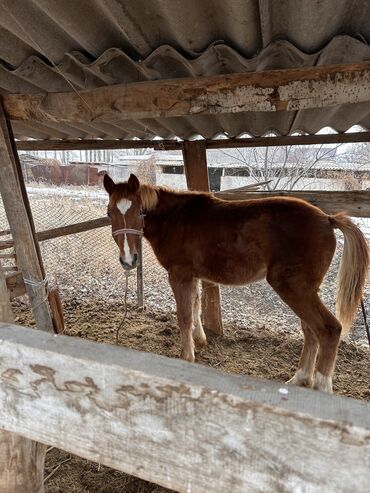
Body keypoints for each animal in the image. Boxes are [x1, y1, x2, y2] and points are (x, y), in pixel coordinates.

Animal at [102, 173, 368, 392]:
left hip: (294, 288)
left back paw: (321, 387)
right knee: (311, 330)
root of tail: (328, 218)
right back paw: (300, 378)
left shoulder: (179, 274)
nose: (129, 260)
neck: (177, 219)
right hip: (305, 289)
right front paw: (200, 341)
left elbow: (184, 316)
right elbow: (196, 306)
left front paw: (187, 356)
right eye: (109, 213)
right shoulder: (193, 276)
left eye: (139, 212)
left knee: (328, 329)